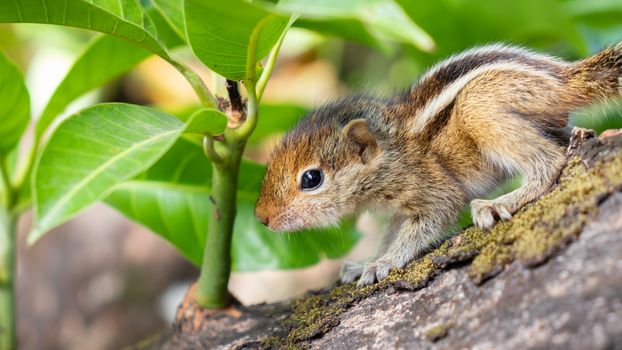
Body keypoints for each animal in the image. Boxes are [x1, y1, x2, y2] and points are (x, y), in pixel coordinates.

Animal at [254, 42, 622, 286]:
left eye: (311, 178)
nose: (261, 217)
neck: (391, 151)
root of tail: (565, 80)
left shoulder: (428, 188)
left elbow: (433, 217)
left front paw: (383, 263)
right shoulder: (398, 209)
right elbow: (391, 234)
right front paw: (365, 262)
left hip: (479, 106)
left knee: (549, 161)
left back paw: (500, 202)